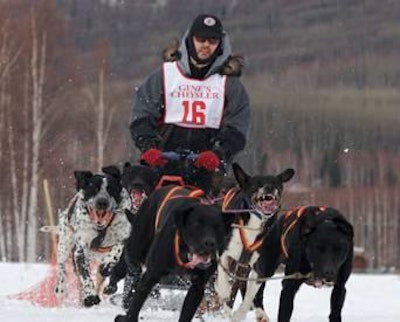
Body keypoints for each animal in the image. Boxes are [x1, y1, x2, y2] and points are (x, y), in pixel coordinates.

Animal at [54, 166, 132, 306]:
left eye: (110, 188)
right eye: (93, 188)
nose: (102, 202)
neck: (101, 229)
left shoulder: (124, 236)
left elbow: (117, 250)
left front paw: (109, 262)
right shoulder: (80, 251)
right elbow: (85, 276)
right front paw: (90, 296)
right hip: (64, 245)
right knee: (61, 267)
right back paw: (62, 288)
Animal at [114, 184, 227, 322]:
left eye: (218, 227)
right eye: (197, 225)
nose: (210, 243)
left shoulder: (197, 287)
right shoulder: (151, 274)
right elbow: (137, 301)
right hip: (137, 246)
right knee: (129, 262)